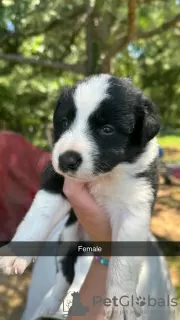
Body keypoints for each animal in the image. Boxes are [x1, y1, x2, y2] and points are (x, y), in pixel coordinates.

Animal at [0, 74, 160, 318]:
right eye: (65, 122)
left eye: (107, 129)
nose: (66, 160)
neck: (104, 176)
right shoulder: (56, 182)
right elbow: (38, 218)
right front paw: (17, 253)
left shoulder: (136, 203)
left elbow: (124, 261)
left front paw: (122, 300)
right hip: (66, 239)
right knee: (65, 275)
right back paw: (49, 305)